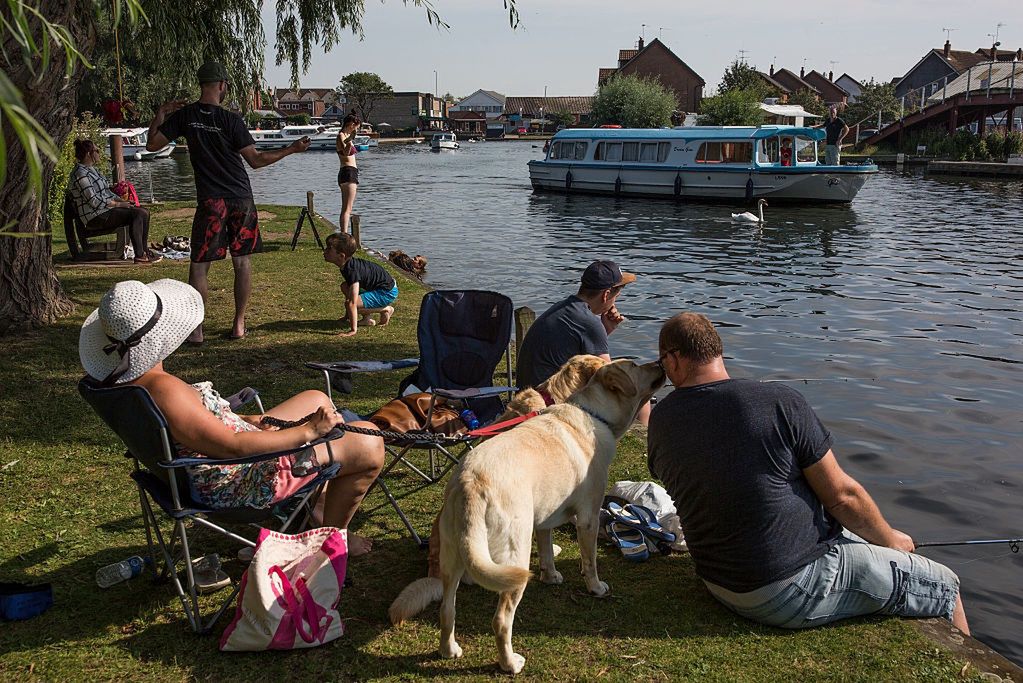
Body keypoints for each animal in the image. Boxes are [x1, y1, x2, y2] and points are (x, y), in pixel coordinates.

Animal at [431, 359, 662, 674]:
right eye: (637, 365)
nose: (661, 362)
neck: (595, 414)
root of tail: (470, 483)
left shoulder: (544, 520)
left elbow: (547, 551)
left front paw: (550, 576)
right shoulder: (589, 518)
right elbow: (590, 561)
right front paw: (596, 588)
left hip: (453, 557)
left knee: (447, 608)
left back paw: (449, 650)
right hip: (514, 559)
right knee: (501, 620)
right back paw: (510, 663)